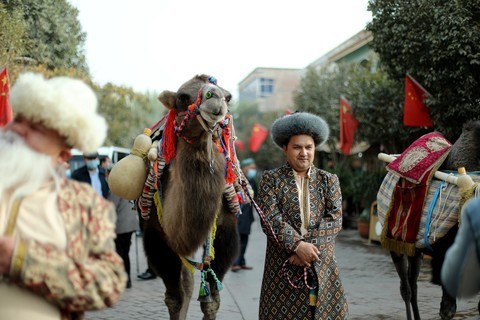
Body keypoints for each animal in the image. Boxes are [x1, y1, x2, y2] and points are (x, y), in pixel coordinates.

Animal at [141, 74, 242, 318]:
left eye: (229, 97)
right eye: (182, 97)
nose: (215, 98)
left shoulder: (226, 233)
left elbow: (212, 300)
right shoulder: (156, 236)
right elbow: (174, 298)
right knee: (186, 283)